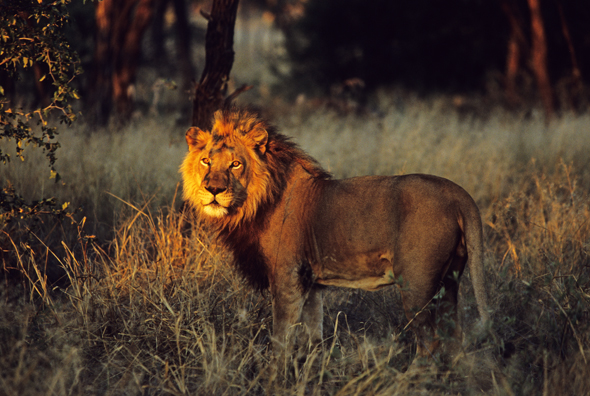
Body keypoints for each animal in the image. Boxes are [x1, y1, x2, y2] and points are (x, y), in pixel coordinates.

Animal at [183, 107, 492, 362]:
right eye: (206, 161)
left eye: (236, 164)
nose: (213, 189)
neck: (254, 204)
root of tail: (458, 193)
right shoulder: (310, 283)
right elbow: (312, 338)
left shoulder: (287, 277)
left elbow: (280, 341)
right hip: (449, 281)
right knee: (454, 339)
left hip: (416, 284)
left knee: (430, 344)